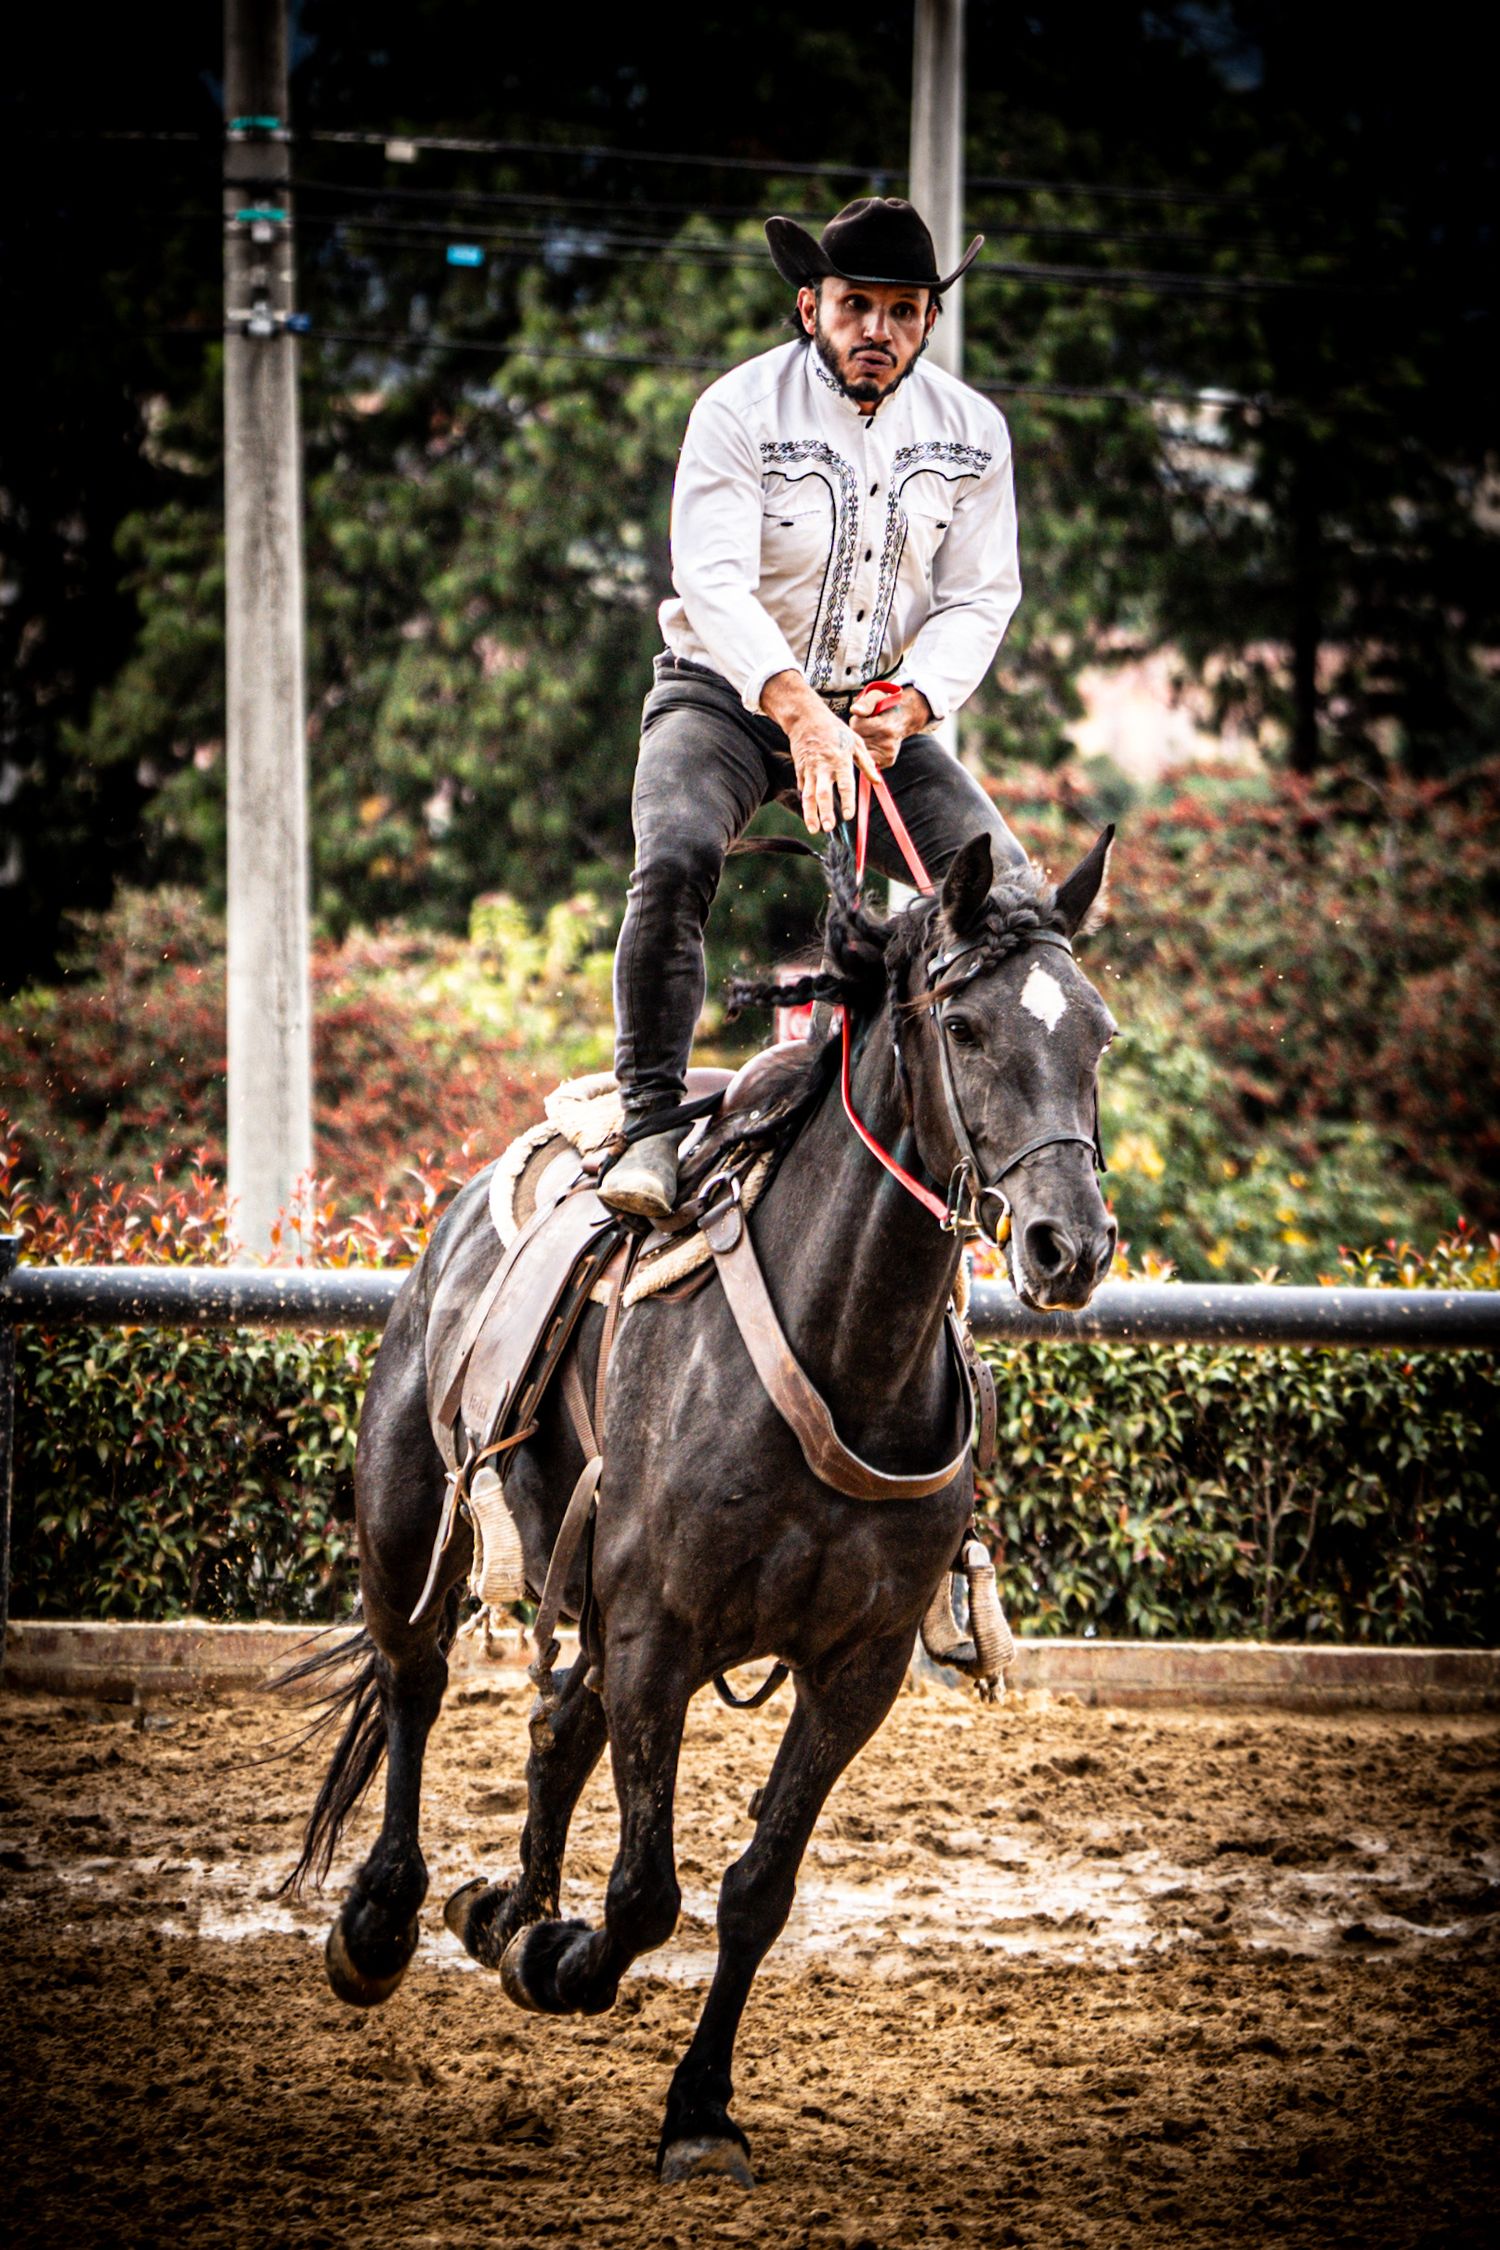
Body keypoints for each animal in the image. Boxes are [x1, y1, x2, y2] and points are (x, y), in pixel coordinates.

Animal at [289, 825, 1118, 2186]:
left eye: (1096, 1031)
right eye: (968, 1025)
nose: (1071, 1245)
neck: (845, 1353)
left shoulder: (856, 1667)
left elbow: (754, 1889)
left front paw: (698, 2108)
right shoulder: (657, 1633)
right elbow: (644, 1890)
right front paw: (560, 1960)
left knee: (555, 1724)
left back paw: (506, 1907)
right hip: (412, 1515)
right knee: (415, 1684)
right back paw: (384, 1920)